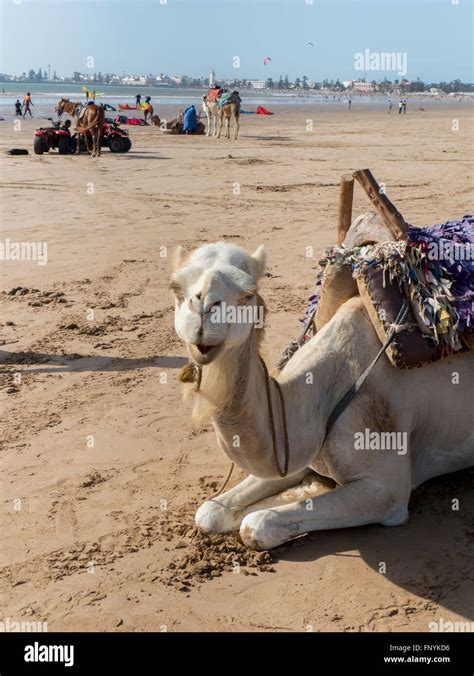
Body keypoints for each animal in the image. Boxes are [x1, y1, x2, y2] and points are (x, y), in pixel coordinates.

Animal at [171, 224, 474, 550]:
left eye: (248, 293)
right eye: (175, 288)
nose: (203, 313)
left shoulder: (387, 489)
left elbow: (256, 524)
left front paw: (301, 493)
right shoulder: (300, 454)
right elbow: (209, 512)